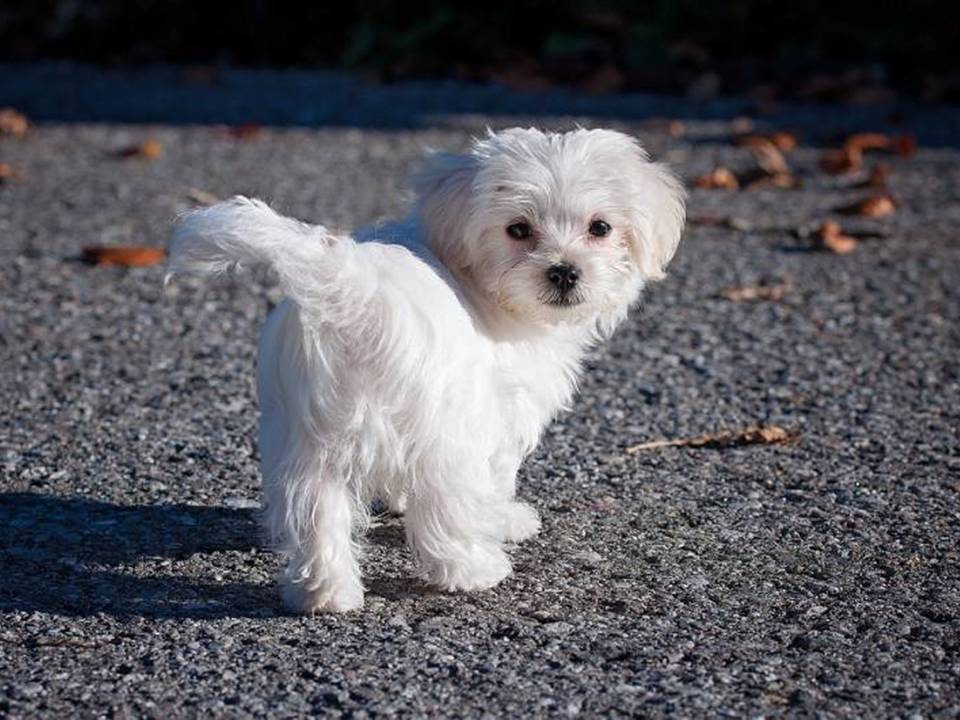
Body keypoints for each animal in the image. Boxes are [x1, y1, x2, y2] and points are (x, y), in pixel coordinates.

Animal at [169, 126, 688, 612]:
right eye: (518, 230)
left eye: (600, 227)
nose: (564, 272)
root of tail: (354, 295)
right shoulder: (499, 412)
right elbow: (496, 478)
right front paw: (506, 520)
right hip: (443, 430)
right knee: (445, 507)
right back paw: (474, 570)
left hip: (308, 439)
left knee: (315, 512)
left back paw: (325, 594)